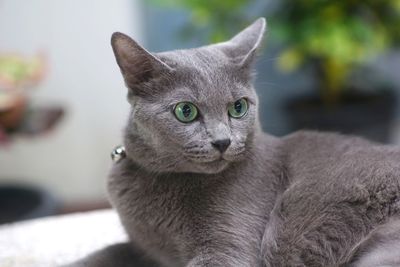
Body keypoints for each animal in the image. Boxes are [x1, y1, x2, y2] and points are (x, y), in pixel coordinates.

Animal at [68, 17, 400, 266]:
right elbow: (105, 253)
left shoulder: (228, 247)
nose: (222, 142)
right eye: (185, 111)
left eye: (238, 107)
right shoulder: (144, 249)